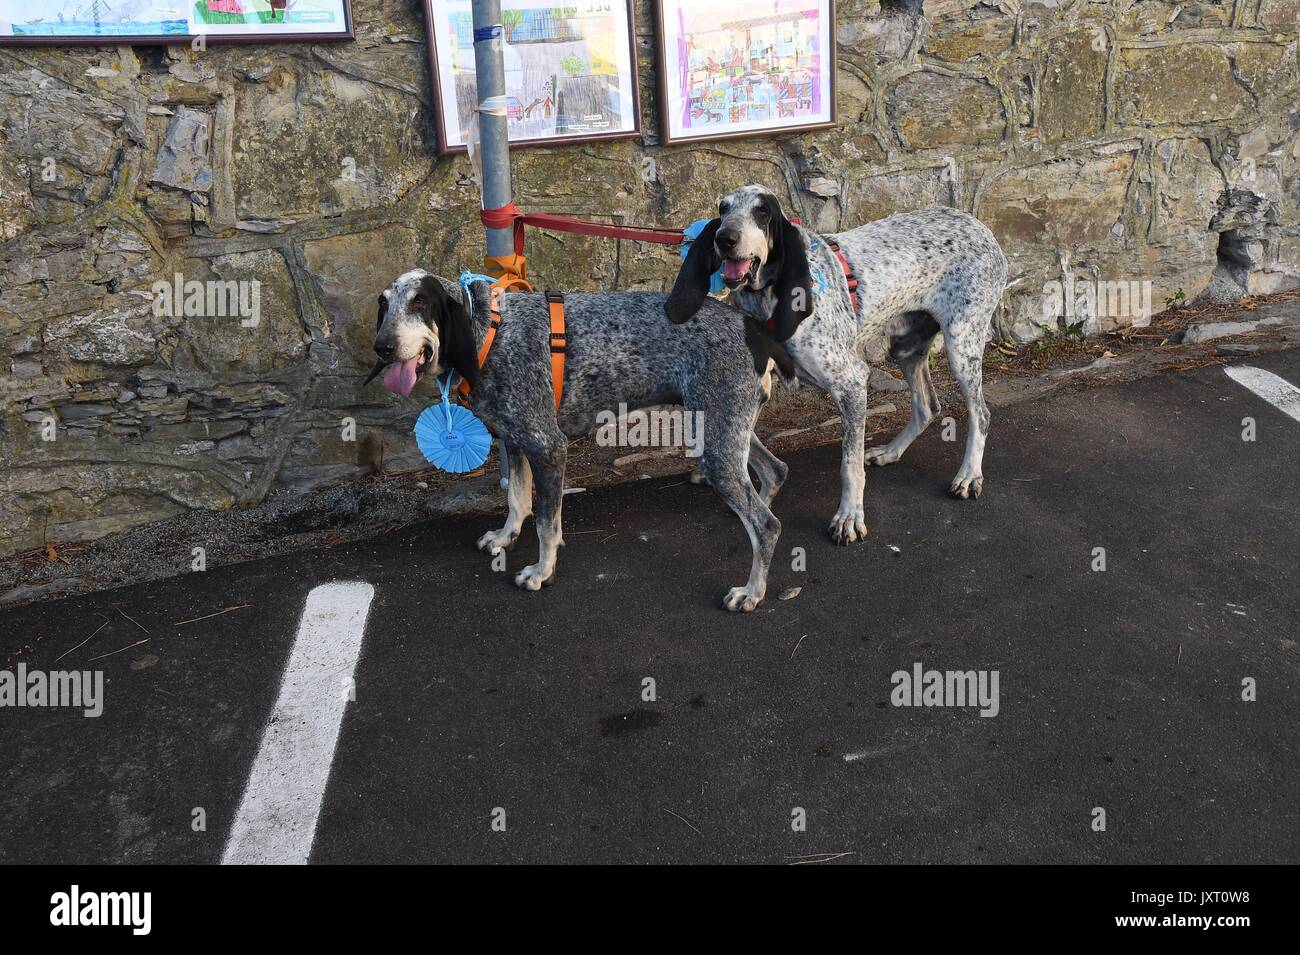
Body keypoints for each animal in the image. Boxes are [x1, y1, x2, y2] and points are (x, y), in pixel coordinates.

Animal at [369, 268, 790, 613]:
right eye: (384, 304)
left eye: (420, 302)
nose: (382, 347)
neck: (489, 333)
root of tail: (753, 329)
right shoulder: (515, 441)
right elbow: (517, 499)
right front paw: (506, 536)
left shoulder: (548, 448)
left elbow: (545, 523)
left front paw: (542, 571)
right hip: (724, 430)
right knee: (775, 471)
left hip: (715, 444)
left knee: (767, 525)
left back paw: (752, 592)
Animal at [665, 187, 1008, 545]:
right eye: (723, 208)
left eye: (762, 212)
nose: (725, 238)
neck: (769, 297)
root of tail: (980, 226)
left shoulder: (852, 382)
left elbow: (849, 464)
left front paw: (849, 517)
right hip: (905, 346)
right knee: (927, 406)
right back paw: (890, 452)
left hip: (961, 345)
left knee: (981, 414)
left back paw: (968, 476)